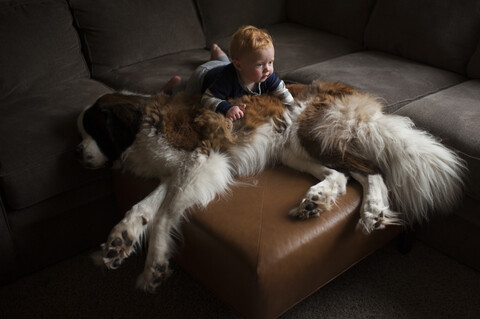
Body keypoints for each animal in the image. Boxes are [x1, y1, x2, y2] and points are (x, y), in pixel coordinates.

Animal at [77, 82, 466, 292]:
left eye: (92, 130)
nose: (78, 155)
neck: (141, 125)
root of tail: (343, 88)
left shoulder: (201, 161)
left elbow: (162, 217)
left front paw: (153, 266)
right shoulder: (175, 174)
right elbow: (141, 207)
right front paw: (120, 240)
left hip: (314, 134)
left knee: (372, 170)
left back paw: (371, 210)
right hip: (296, 147)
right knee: (343, 175)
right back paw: (319, 200)